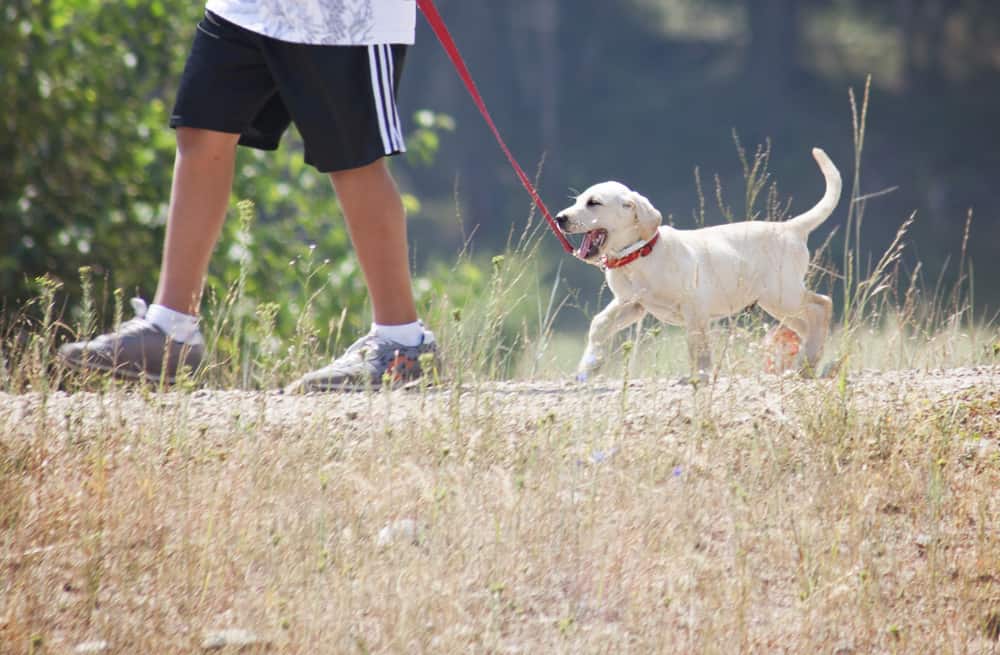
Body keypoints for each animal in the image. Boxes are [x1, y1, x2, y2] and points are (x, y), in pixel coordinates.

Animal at [560, 147, 840, 384]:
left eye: (594, 203)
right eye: (578, 201)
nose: (560, 218)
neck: (639, 255)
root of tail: (791, 227)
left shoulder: (694, 305)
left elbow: (698, 344)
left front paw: (700, 376)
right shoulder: (632, 304)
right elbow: (600, 324)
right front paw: (588, 367)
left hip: (783, 294)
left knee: (822, 305)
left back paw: (807, 362)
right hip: (777, 303)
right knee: (808, 324)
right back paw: (808, 363)